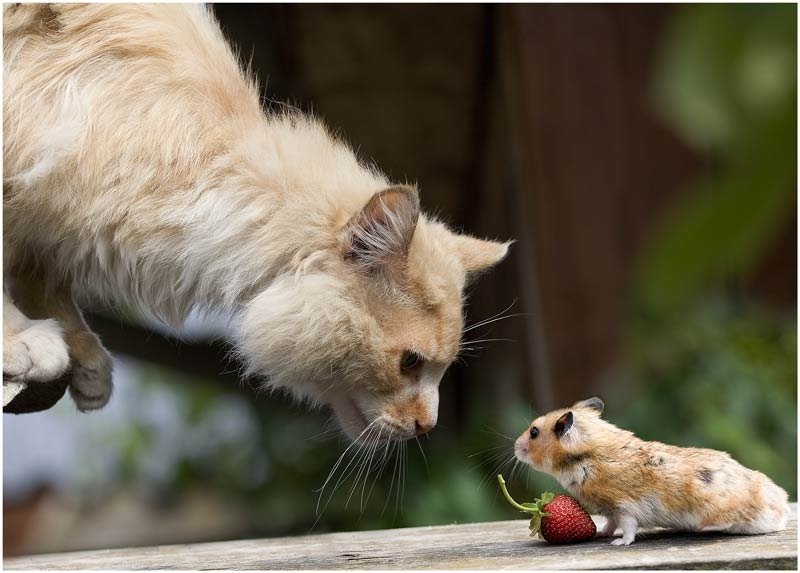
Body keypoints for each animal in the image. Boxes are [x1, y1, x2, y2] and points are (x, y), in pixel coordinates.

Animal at [3, 3, 510, 438]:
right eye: (409, 362)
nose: (428, 426)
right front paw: (22, 338)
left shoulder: (48, 228)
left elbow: (45, 281)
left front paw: (84, 355)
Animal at [516, 396, 792, 544]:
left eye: (534, 432)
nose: (515, 447)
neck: (587, 456)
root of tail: (781, 510)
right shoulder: (610, 510)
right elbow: (609, 524)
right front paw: (600, 535)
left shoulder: (624, 506)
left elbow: (627, 528)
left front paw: (618, 543)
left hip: (718, 503)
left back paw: (702, 527)